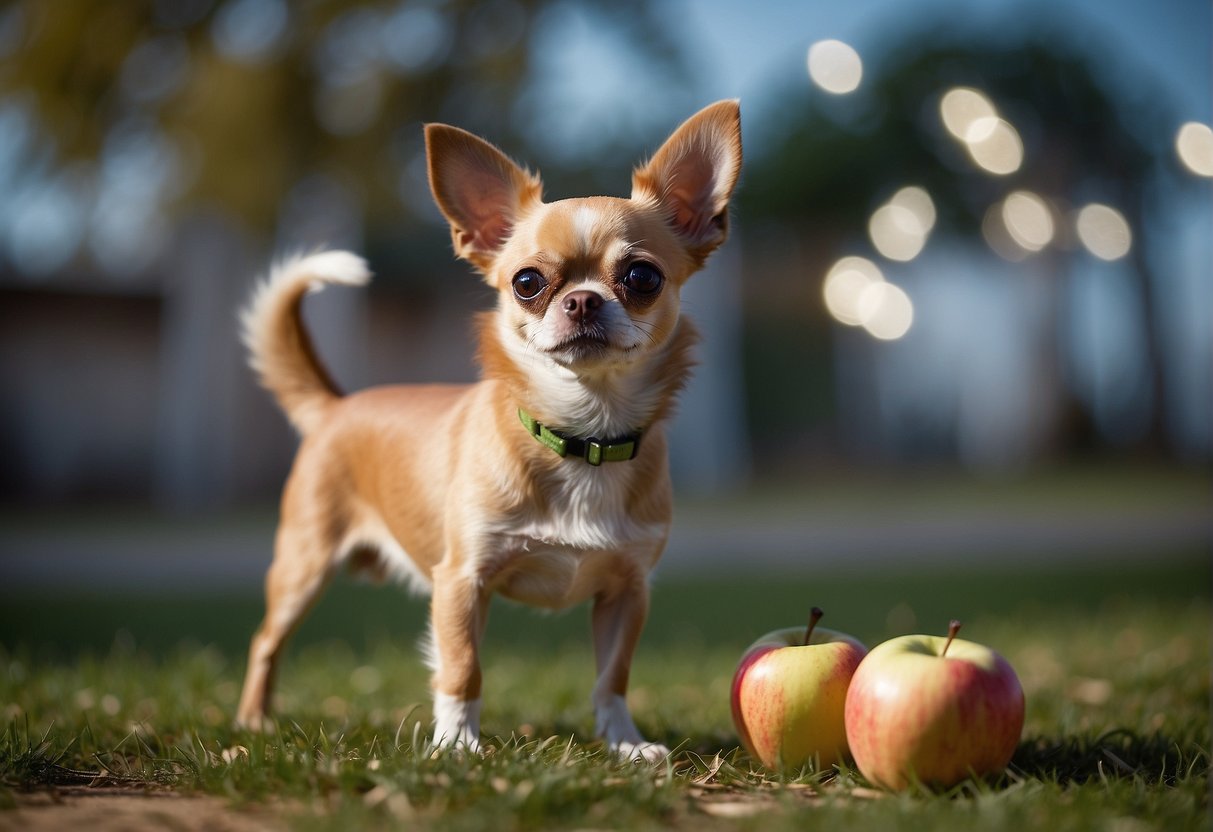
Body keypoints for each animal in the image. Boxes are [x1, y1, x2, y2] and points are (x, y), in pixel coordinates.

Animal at [232, 99, 742, 761]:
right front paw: (455, 749)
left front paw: (626, 746)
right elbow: (462, 669)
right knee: (265, 642)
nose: (582, 300)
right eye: (527, 282)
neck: (583, 435)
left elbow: (612, 677)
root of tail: (334, 406)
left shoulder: (627, 593)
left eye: (642, 278)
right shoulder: (460, 582)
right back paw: (252, 721)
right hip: (303, 565)